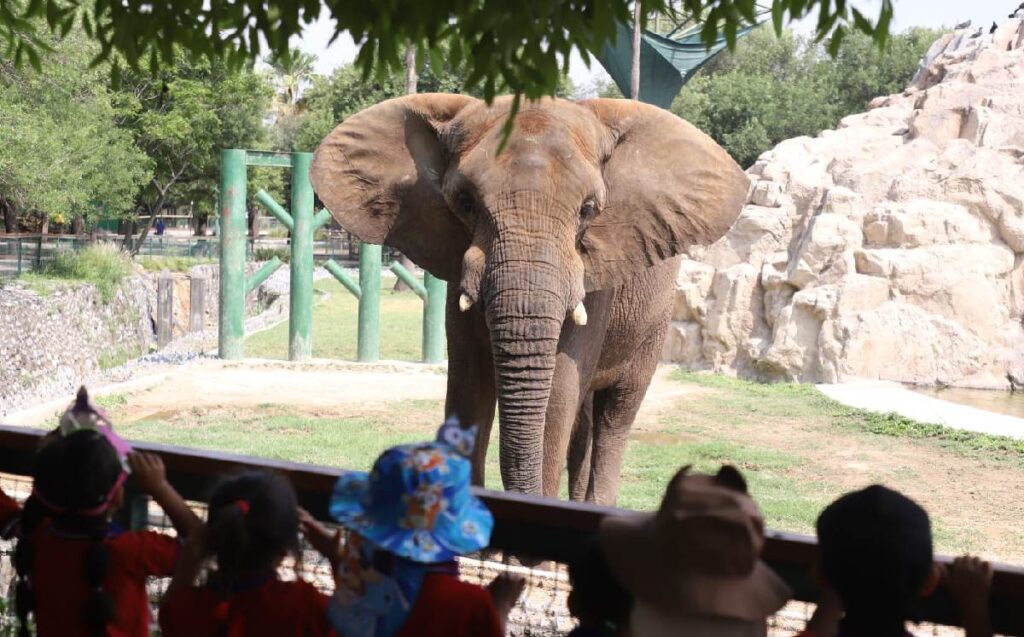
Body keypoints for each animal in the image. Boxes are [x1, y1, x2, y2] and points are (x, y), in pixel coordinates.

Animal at [310, 95, 748, 505]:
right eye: (465, 202)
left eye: (588, 209)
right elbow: (468, 386)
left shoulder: (593, 283)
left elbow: (556, 396)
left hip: (654, 324)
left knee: (616, 415)